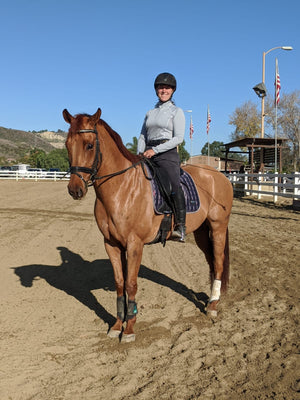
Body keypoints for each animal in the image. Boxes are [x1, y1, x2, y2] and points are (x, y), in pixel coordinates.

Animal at [62, 108, 233, 342]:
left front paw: (129, 329)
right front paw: (117, 325)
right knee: (211, 261)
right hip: (201, 231)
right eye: (67, 144)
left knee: (218, 261)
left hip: (218, 227)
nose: (75, 189)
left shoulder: (135, 245)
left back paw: (213, 306)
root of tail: (219, 175)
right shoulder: (111, 244)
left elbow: (131, 284)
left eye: (89, 145)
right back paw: (209, 298)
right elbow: (120, 283)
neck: (122, 188)